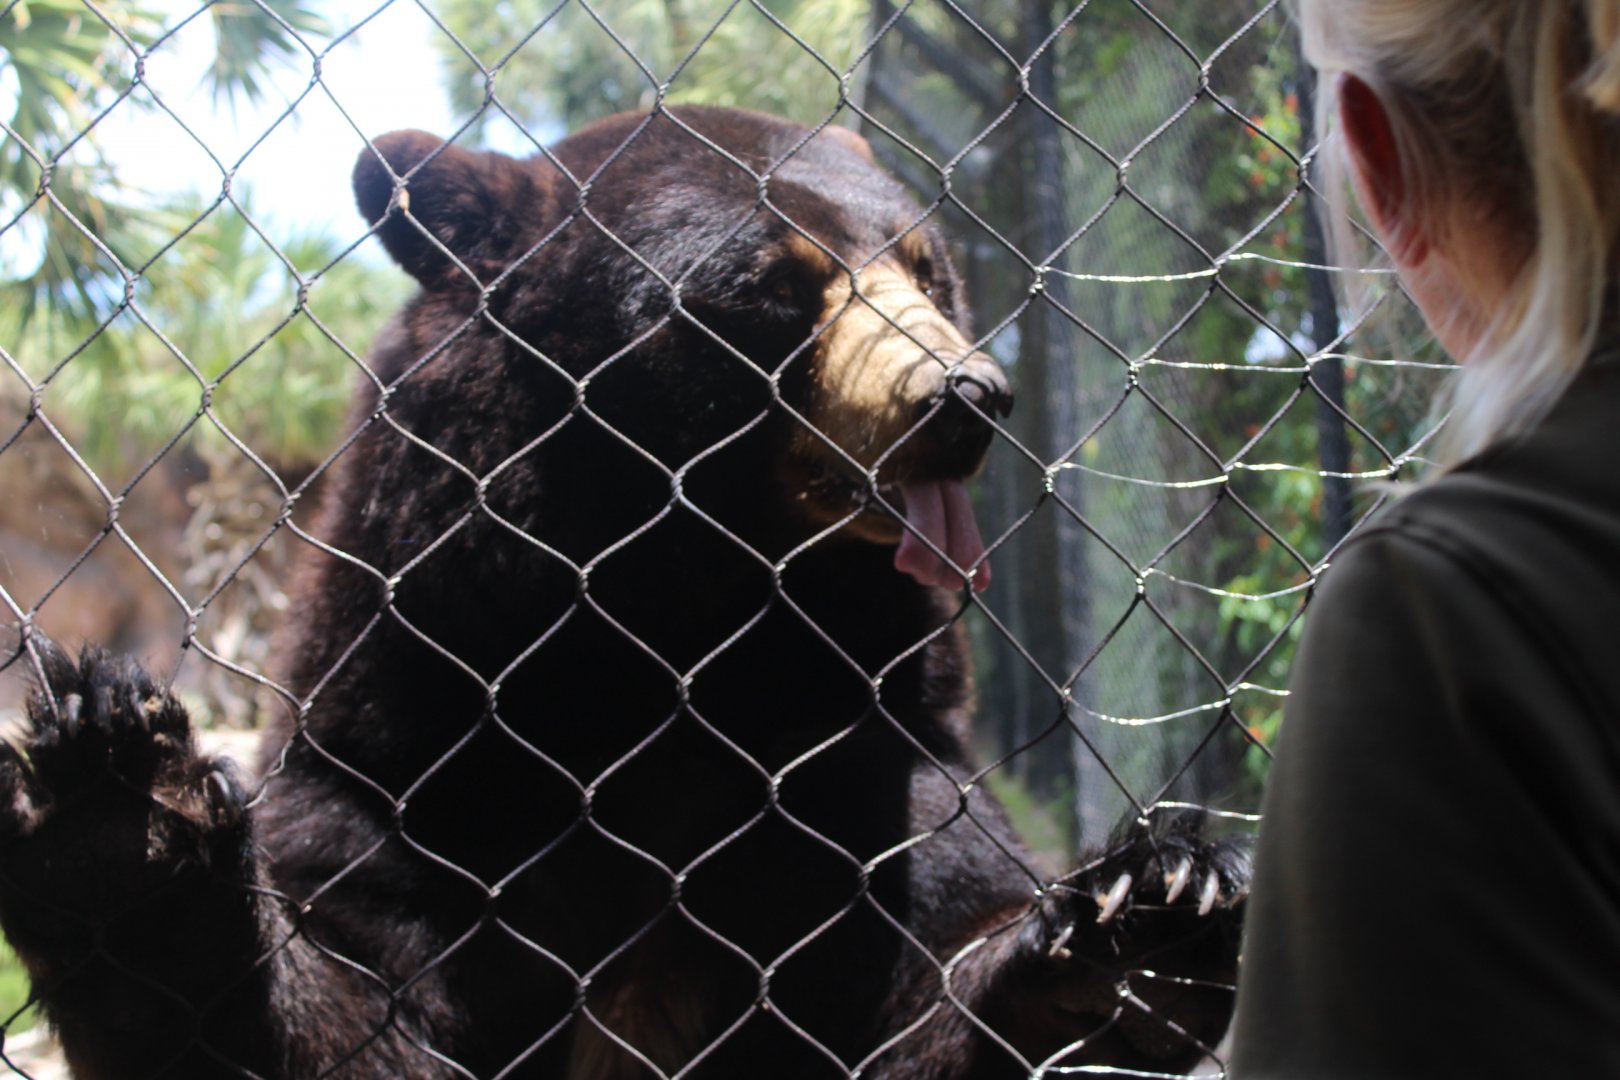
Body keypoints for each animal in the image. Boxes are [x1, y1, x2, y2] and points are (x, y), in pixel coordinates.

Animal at [0, 107, 1247, 1078]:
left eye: (926, 265)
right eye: (772, 287)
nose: (967, 396)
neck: (667, 631)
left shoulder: (868, 761)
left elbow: (924, 969)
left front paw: (1144, 922)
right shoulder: (413, 761)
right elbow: (362, 1004)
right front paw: (115, 803)